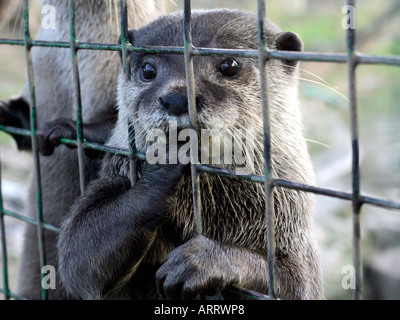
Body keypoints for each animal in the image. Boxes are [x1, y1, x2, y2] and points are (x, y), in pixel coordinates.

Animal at [57, 10, 324, 300]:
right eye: (148, 69)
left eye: (229, 65)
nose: (177, 98)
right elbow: (77, 256)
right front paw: (168, 159)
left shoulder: (291, 229)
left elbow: (296, 283)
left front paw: (203, 261)